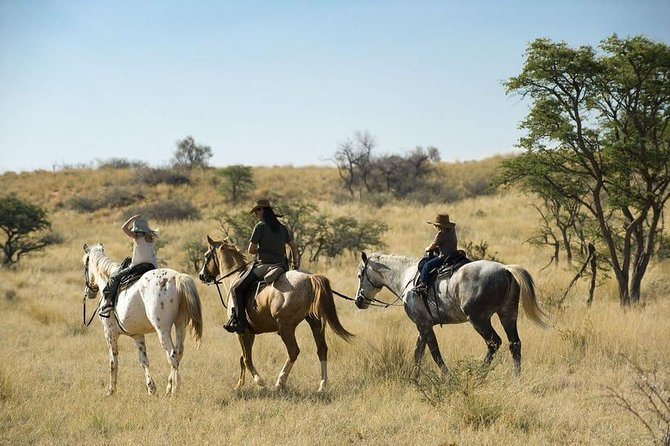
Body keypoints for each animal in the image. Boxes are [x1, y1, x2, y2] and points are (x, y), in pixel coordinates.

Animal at [354, 253, 548, 374]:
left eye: (359, 275)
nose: (358, 301)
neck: (407, 278)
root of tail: (506, 269)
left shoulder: (424, 325)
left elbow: (435, 354)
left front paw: (447, 376)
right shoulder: (423, 326)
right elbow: (418, 353)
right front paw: (414, 378)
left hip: (479, 320)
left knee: (494, 343)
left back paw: (479, 374)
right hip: (507, 315)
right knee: (514, 344)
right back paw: (516, 377)